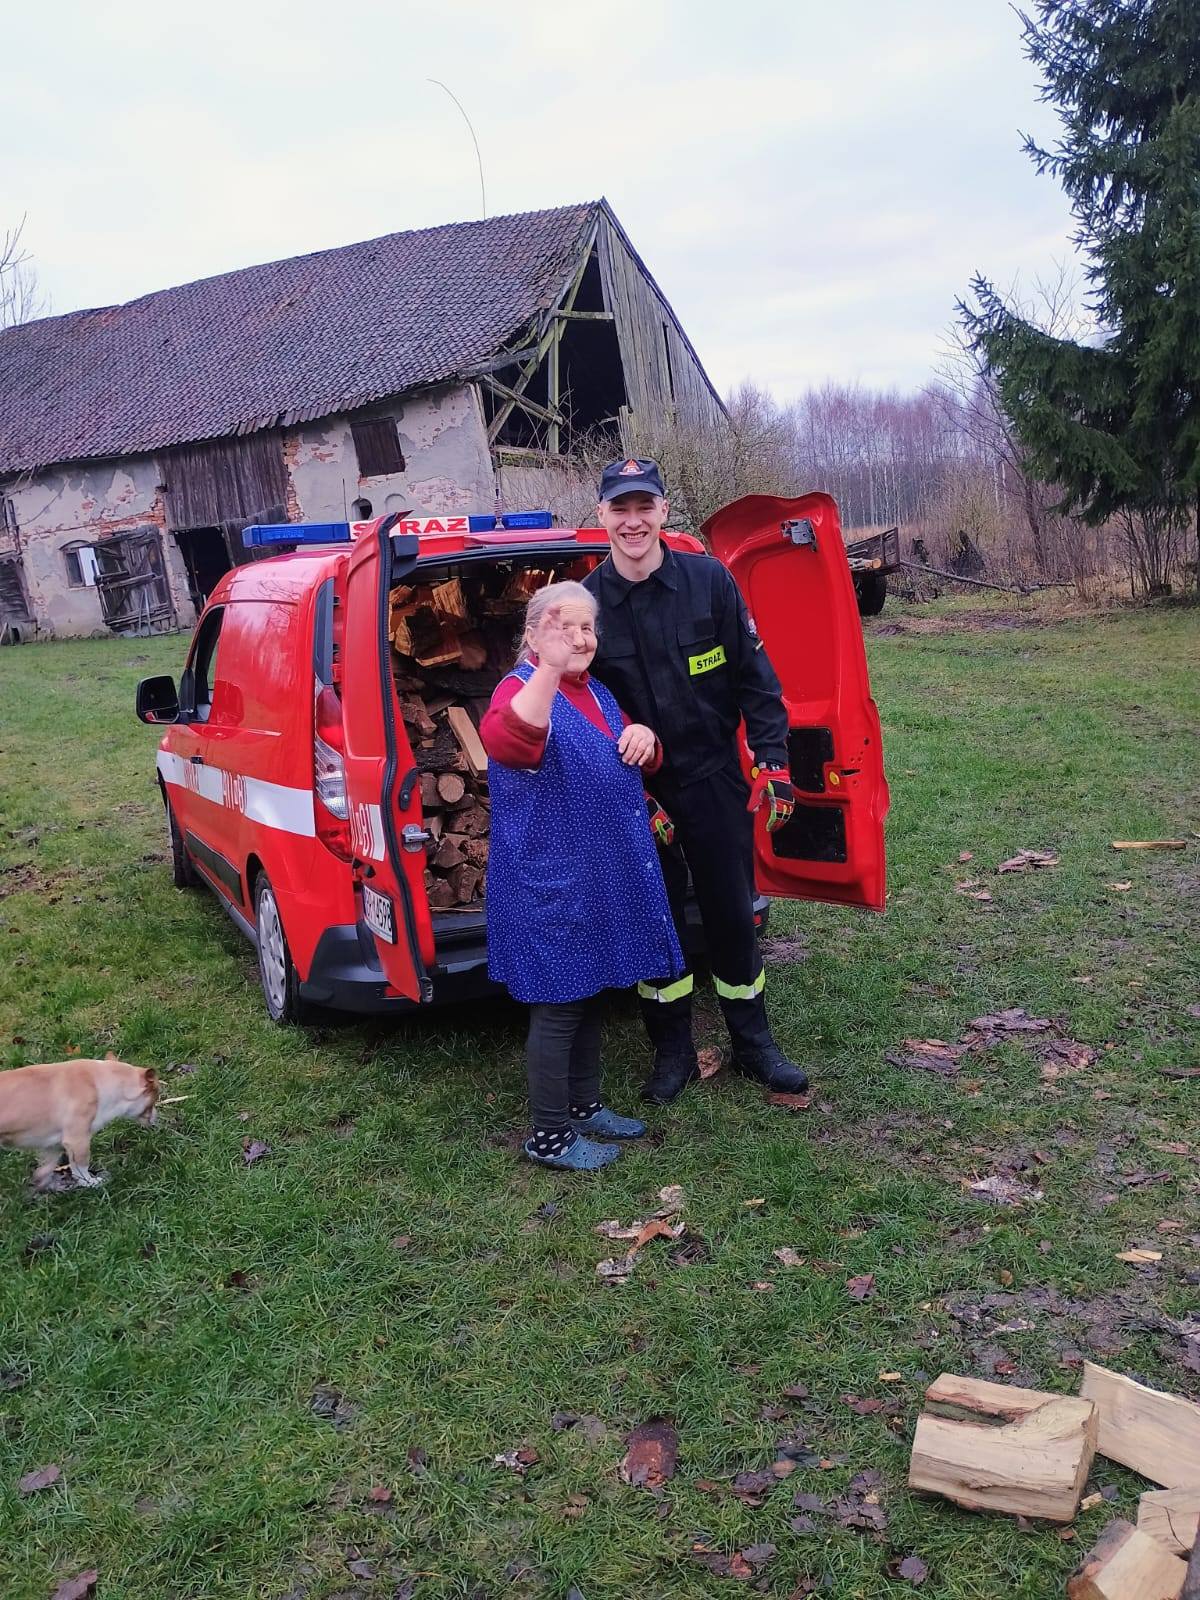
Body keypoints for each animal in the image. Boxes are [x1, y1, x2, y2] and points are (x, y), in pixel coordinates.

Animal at [0, 1049, 158, 1190]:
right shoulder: (77, 1140)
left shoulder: (54, 1144)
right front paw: (90, 1182)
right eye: (155, 1097)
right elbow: (80, 1167)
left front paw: (43, 1182)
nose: (157, 1118)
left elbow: (49, 1164)